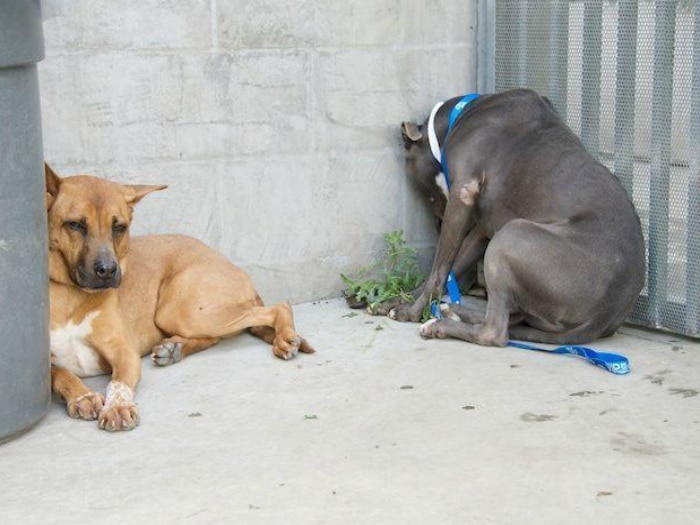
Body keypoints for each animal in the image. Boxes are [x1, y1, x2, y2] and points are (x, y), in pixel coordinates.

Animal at [46, 164, 314, 430]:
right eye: (75, 225)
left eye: (119, 227)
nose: (108, 271)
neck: (70, 294)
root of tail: (230, 264)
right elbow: (60, 373)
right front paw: (83, 395)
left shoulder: (125, 354)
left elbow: (117, 384)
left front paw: (118, 406)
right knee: (215, 336)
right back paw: (174, 348)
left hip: (180, 312)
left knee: (279, 307)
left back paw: (285, 337)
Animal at [388, 88, 644, 346]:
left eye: (429, 196)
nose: (437, 226)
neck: (459, 117)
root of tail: (603, 315)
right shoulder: (483, 225)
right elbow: (457, 261)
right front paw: (399, 299)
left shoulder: (463, 194)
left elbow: (440, 269)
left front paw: (410, 311)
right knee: (513, 317)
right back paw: (455, 311)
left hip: (511, 236)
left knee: (495, 331)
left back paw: (440, 324)